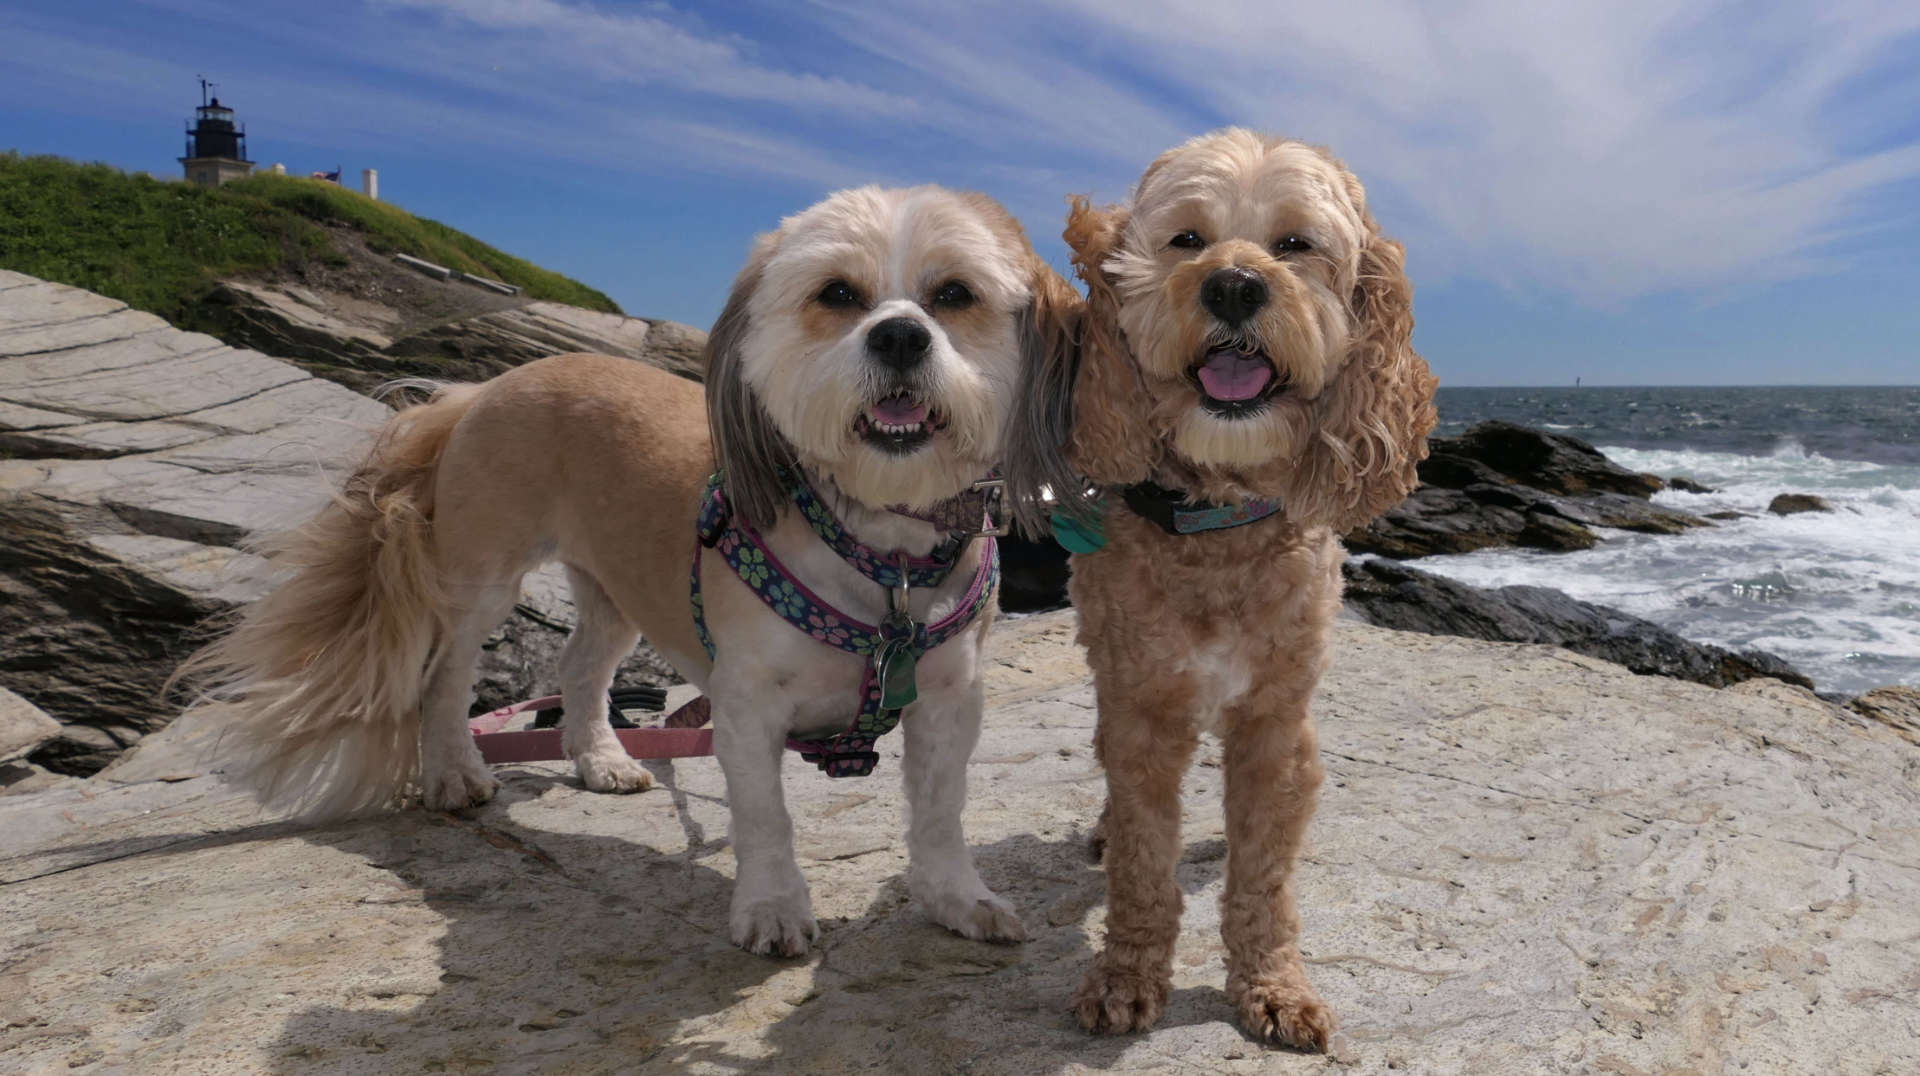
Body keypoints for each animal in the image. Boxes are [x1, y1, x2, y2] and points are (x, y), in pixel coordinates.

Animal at [178, 184, 1082, 956]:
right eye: (836, 294)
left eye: (956, 295)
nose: (899, 336)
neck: (879, 545)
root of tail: (480, 389)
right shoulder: (748, 705)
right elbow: (765, 817)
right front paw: (772, 908)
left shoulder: (949, 699)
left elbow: (940, 809)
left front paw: (954, 897)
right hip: (483, 573)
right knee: (445, 675)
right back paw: (454, 772)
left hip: (615, 589)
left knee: (580, 665)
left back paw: (600, 757)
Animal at [1006, 127, 1443, 1052]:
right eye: (1187, 240)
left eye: (1296, 244)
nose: (1235, 285)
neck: (1216, 524)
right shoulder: (1140, 712)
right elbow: (1142, 862)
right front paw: (1127, 976)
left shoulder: (1275, 727)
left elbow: (1263, 882)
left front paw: (1272, 986)